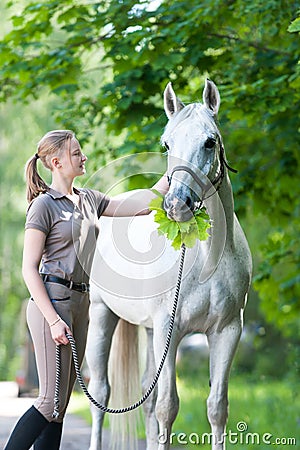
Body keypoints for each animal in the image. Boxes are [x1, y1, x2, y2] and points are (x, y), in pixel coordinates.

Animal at [85, 79, 252, 448]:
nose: (177, 204)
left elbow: (217, 408)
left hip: (148, 330)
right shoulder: (169, 331)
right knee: (100, 394)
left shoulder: (227, 331)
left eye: (209, 141)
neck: (206, 260)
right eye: (167, 143)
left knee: (145, 401)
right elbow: (167, 408)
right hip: (101, 315)